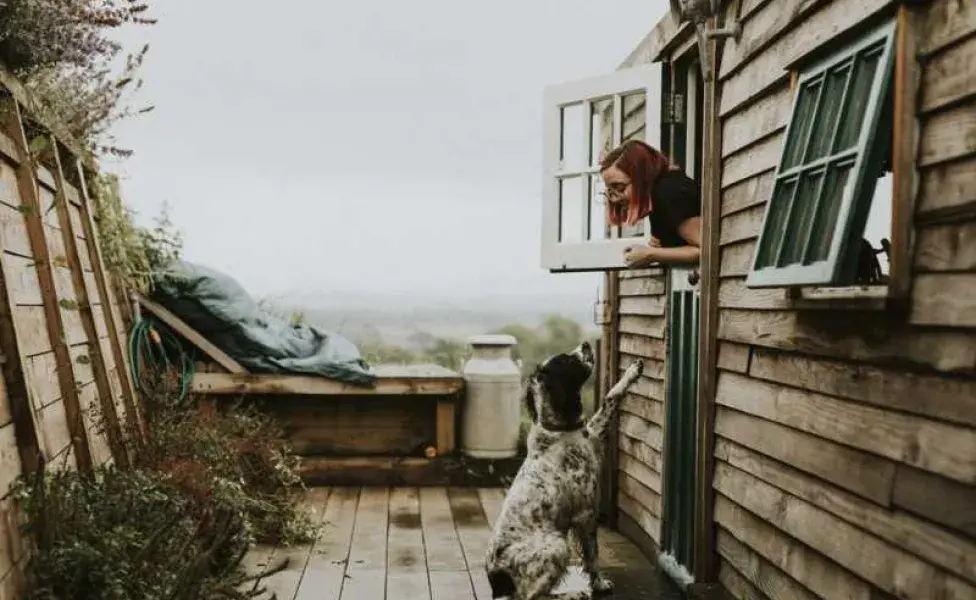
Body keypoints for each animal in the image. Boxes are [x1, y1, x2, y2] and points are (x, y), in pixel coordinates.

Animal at [484, 342, 644, 600]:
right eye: (567, 361)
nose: (586, 344)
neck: (557, 429)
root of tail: (497, 578)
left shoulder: (594, 432)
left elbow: (610, 397)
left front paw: (632, 371)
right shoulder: (586, 512)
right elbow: (592, 555)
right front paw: (599, 585)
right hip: (557, 544)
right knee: (532, 597)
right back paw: (574, 594)